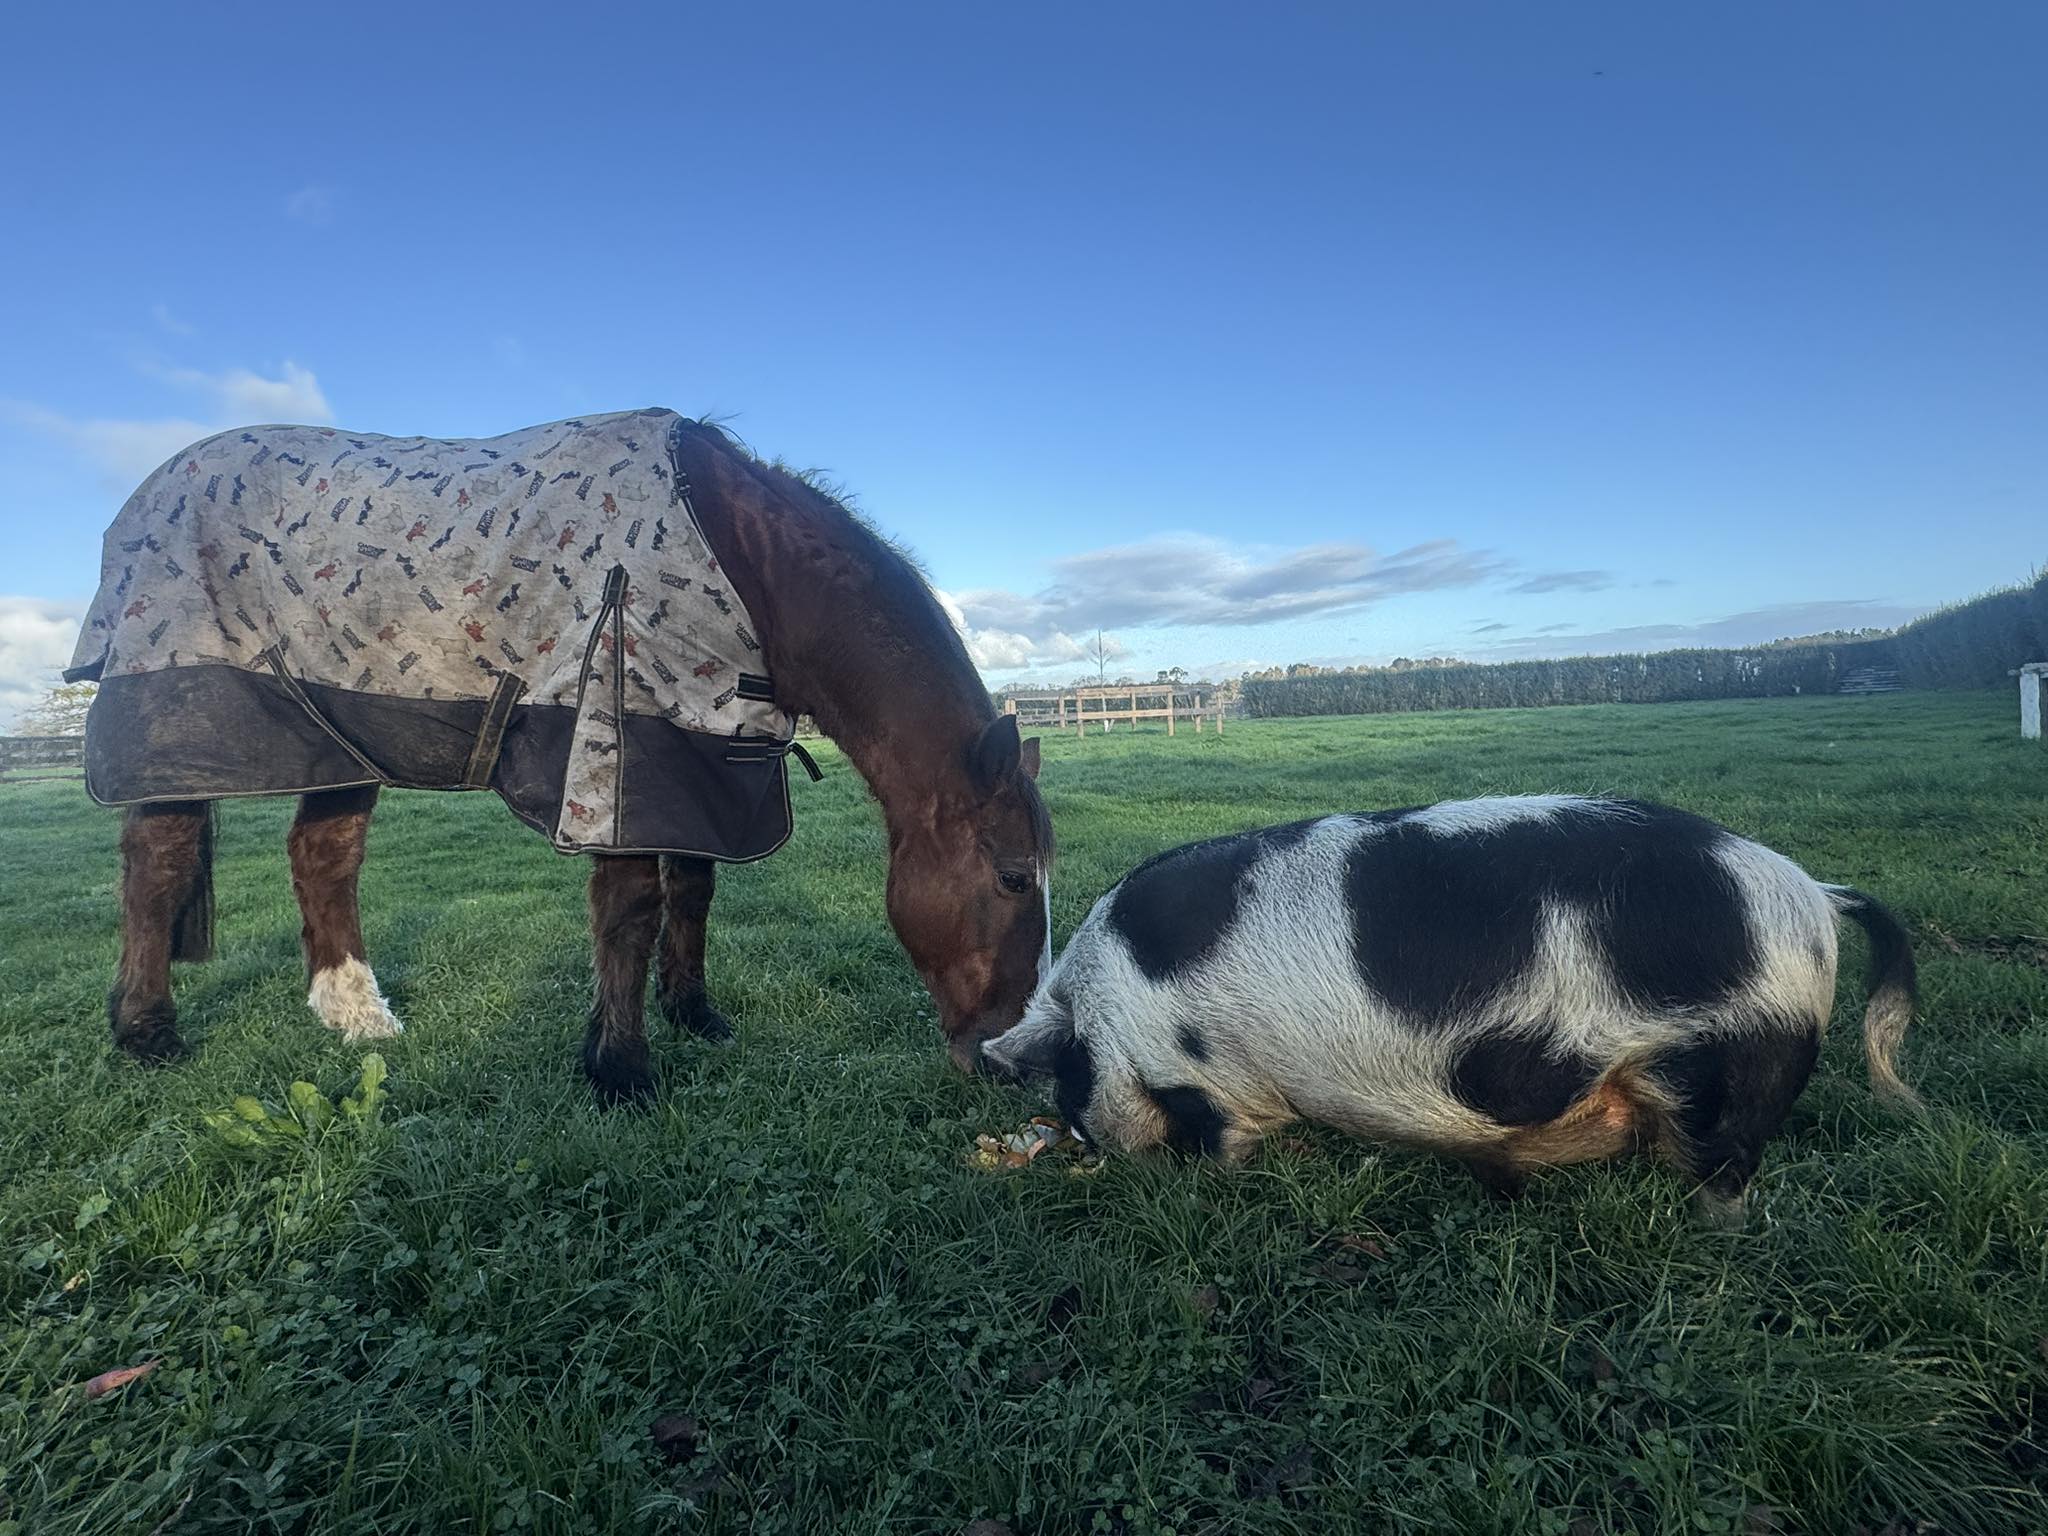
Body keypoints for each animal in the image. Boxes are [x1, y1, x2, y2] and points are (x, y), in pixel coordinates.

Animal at [67, 409, 1052, 1102]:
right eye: (1011, 877)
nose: (1015, 1061)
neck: (741, 562)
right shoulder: (620, 734)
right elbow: (631, 908)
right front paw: (621, 1068)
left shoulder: (698, 746)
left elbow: (694, 890)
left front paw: (692, 1013)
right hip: (186, 732)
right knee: (157, 864)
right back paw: (146, 1031)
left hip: (337, 736)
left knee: (322, 859)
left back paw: (358, 1017)